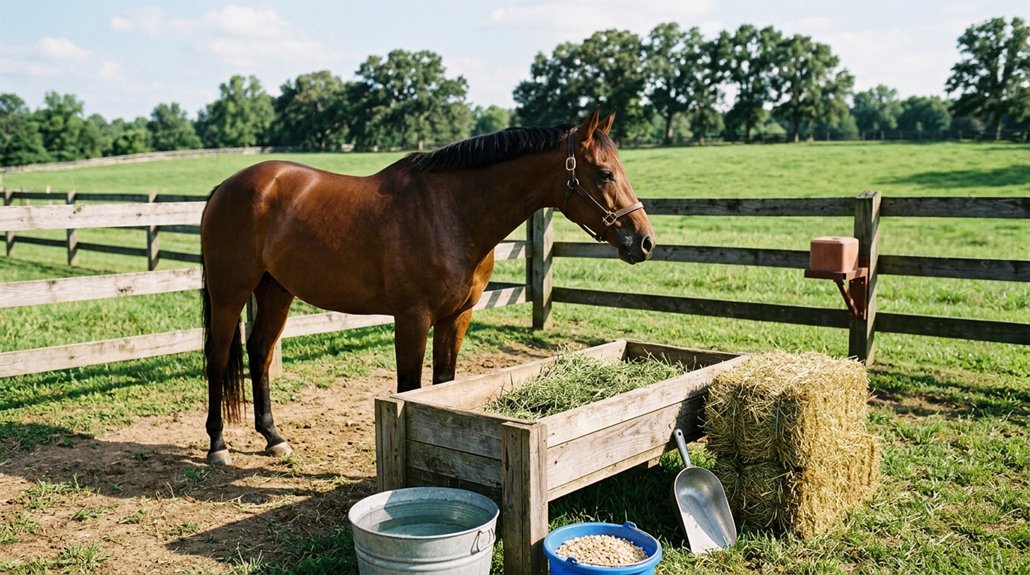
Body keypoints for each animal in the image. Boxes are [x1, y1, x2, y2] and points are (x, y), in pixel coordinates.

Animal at [199, 108, 656, 465]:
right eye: (605, 174)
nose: (644, 241)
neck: (450, 212)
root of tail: (226, 187)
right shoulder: (412, 319)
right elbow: (410, 388)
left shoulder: (457, 317)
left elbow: (443, 385)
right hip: (229, 294)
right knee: (218, 358)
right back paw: (218, 445)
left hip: (276, 291)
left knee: (260, 353)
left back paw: (273, 438)